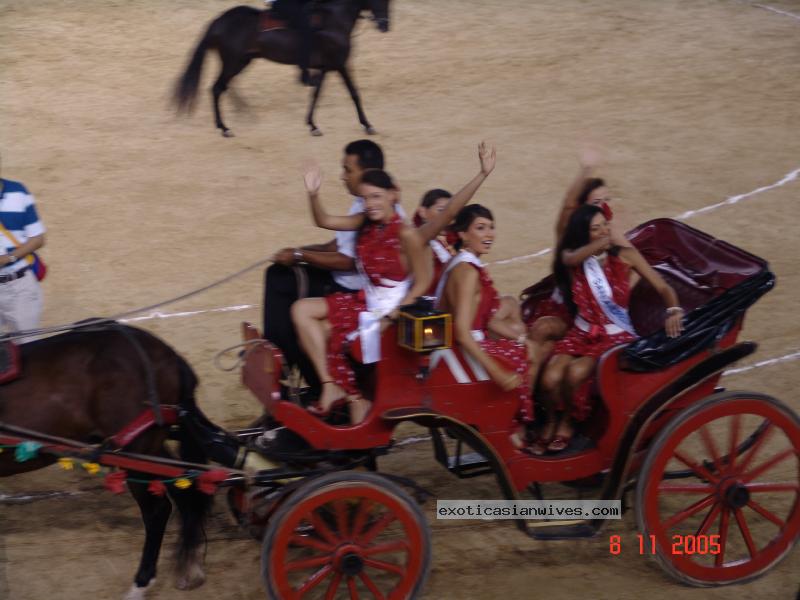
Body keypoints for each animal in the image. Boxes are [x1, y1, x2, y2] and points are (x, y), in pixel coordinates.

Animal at [0, 326, 219, 600]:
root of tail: (167, 353)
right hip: (150, 448)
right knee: (185, 489)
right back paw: (191, 564)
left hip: (134, 452)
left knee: (157, 512)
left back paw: (141, 583)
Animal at [173, 0, 390, 136]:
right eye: (381, 0)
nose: (384, 26)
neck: (334, 20)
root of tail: (219, 21)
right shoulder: (340, 64)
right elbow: (354, 93)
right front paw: (368, 125)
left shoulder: (325, 67)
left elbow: (316, 95)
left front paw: (312, 125)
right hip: (233, 61)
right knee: (217, 88)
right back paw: (225, 128)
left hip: (242, 61)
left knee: (225, 86)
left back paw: (241, 112)